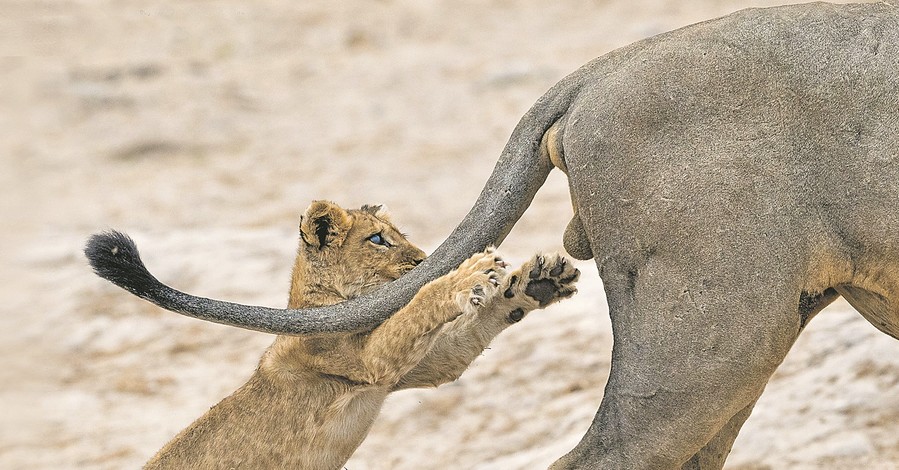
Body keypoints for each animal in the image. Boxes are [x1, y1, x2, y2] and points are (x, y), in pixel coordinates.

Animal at [86, 1, 899, 468]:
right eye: (378, 241)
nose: (418, 256)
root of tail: (598, 71)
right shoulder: (361, 356)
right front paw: (472, 277)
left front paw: (518, 282)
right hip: (714, 331)